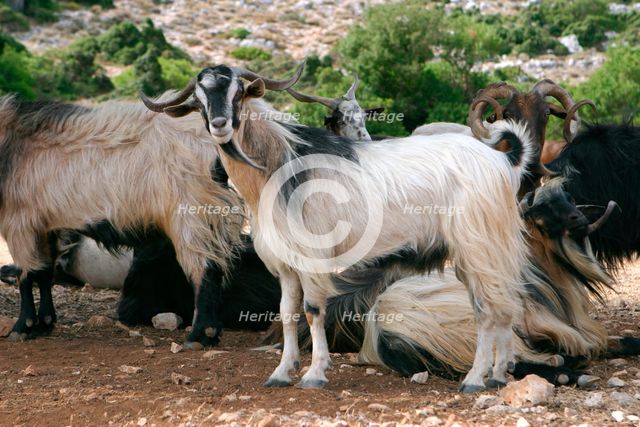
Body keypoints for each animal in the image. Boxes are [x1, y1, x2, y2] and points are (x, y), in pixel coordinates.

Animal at [0, 95, 244, 342]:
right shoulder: (45, 225)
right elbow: (44, 273)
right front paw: (45, 323)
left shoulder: (19, 223)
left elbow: (25, 276)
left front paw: (22, 328)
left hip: (191, 215)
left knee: (204, 267)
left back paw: (199, 335)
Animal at [142, 63, 536, 393]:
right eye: (199, 100)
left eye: (239, 92)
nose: (221, 124)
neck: (279, 166)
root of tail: (502, 160)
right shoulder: (285, 262)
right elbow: (287, 312)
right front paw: (281, 372)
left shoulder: (313, 256)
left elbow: (313, 310)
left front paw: (315, 373)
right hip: (481, 251)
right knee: (503, 303)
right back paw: (499, 375)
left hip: (478, 244)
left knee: (487, 308)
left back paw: (474, 379)